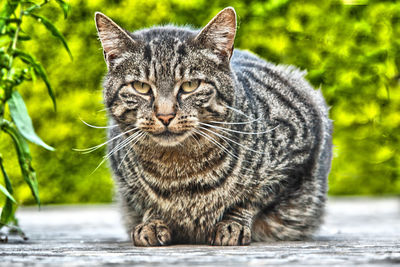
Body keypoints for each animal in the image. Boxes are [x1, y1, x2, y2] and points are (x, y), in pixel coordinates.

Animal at [94, 6, 332, 248]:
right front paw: (153, 221)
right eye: (140, 86)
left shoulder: (297, 153)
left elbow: (253, 198)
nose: (165, 115)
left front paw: (233, 223)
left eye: (190, 85)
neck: (179, 173)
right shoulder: (124, 176)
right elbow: (146, 201)